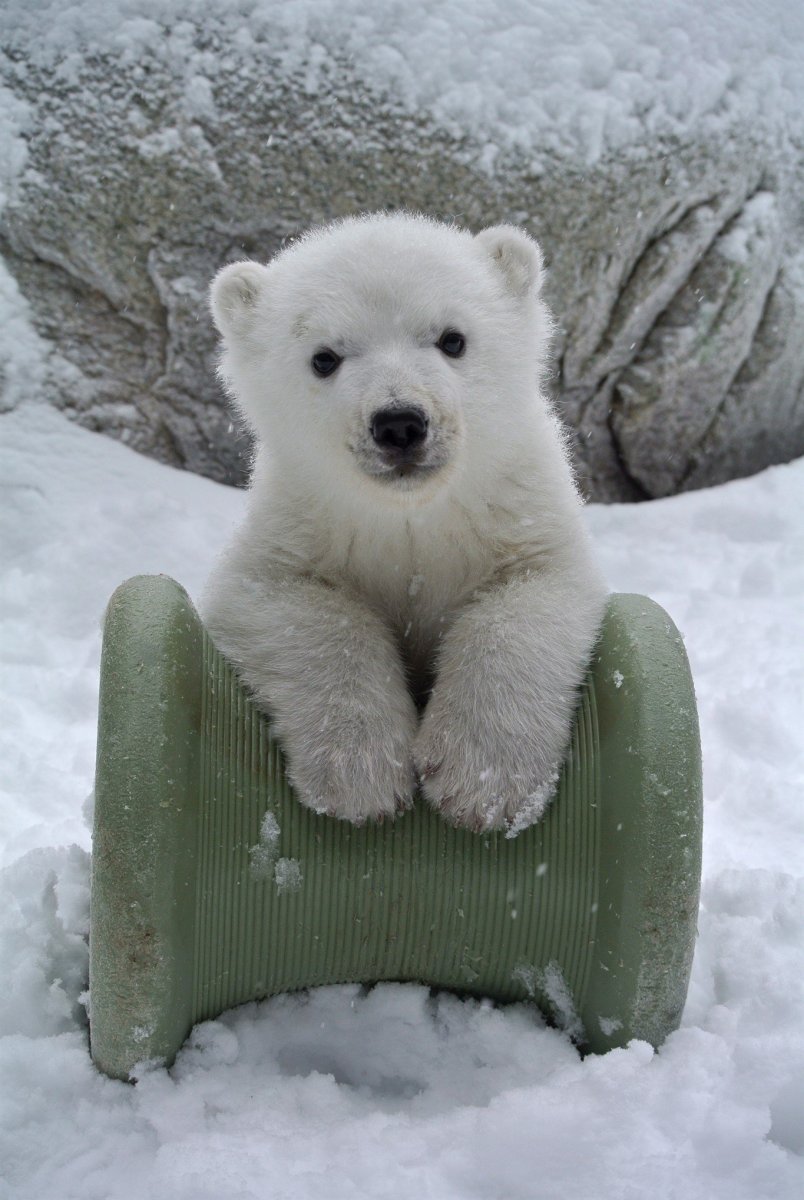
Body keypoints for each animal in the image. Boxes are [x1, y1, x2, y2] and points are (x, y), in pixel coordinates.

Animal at [203, 213, 607, 833]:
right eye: (324, 357)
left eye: (452, 339)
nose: (399, 424)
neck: (411, 513)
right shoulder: (301, 518)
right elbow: (295, 604)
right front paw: (360, 776)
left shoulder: (516, 505)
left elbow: (528, 597)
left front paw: (483, 782)